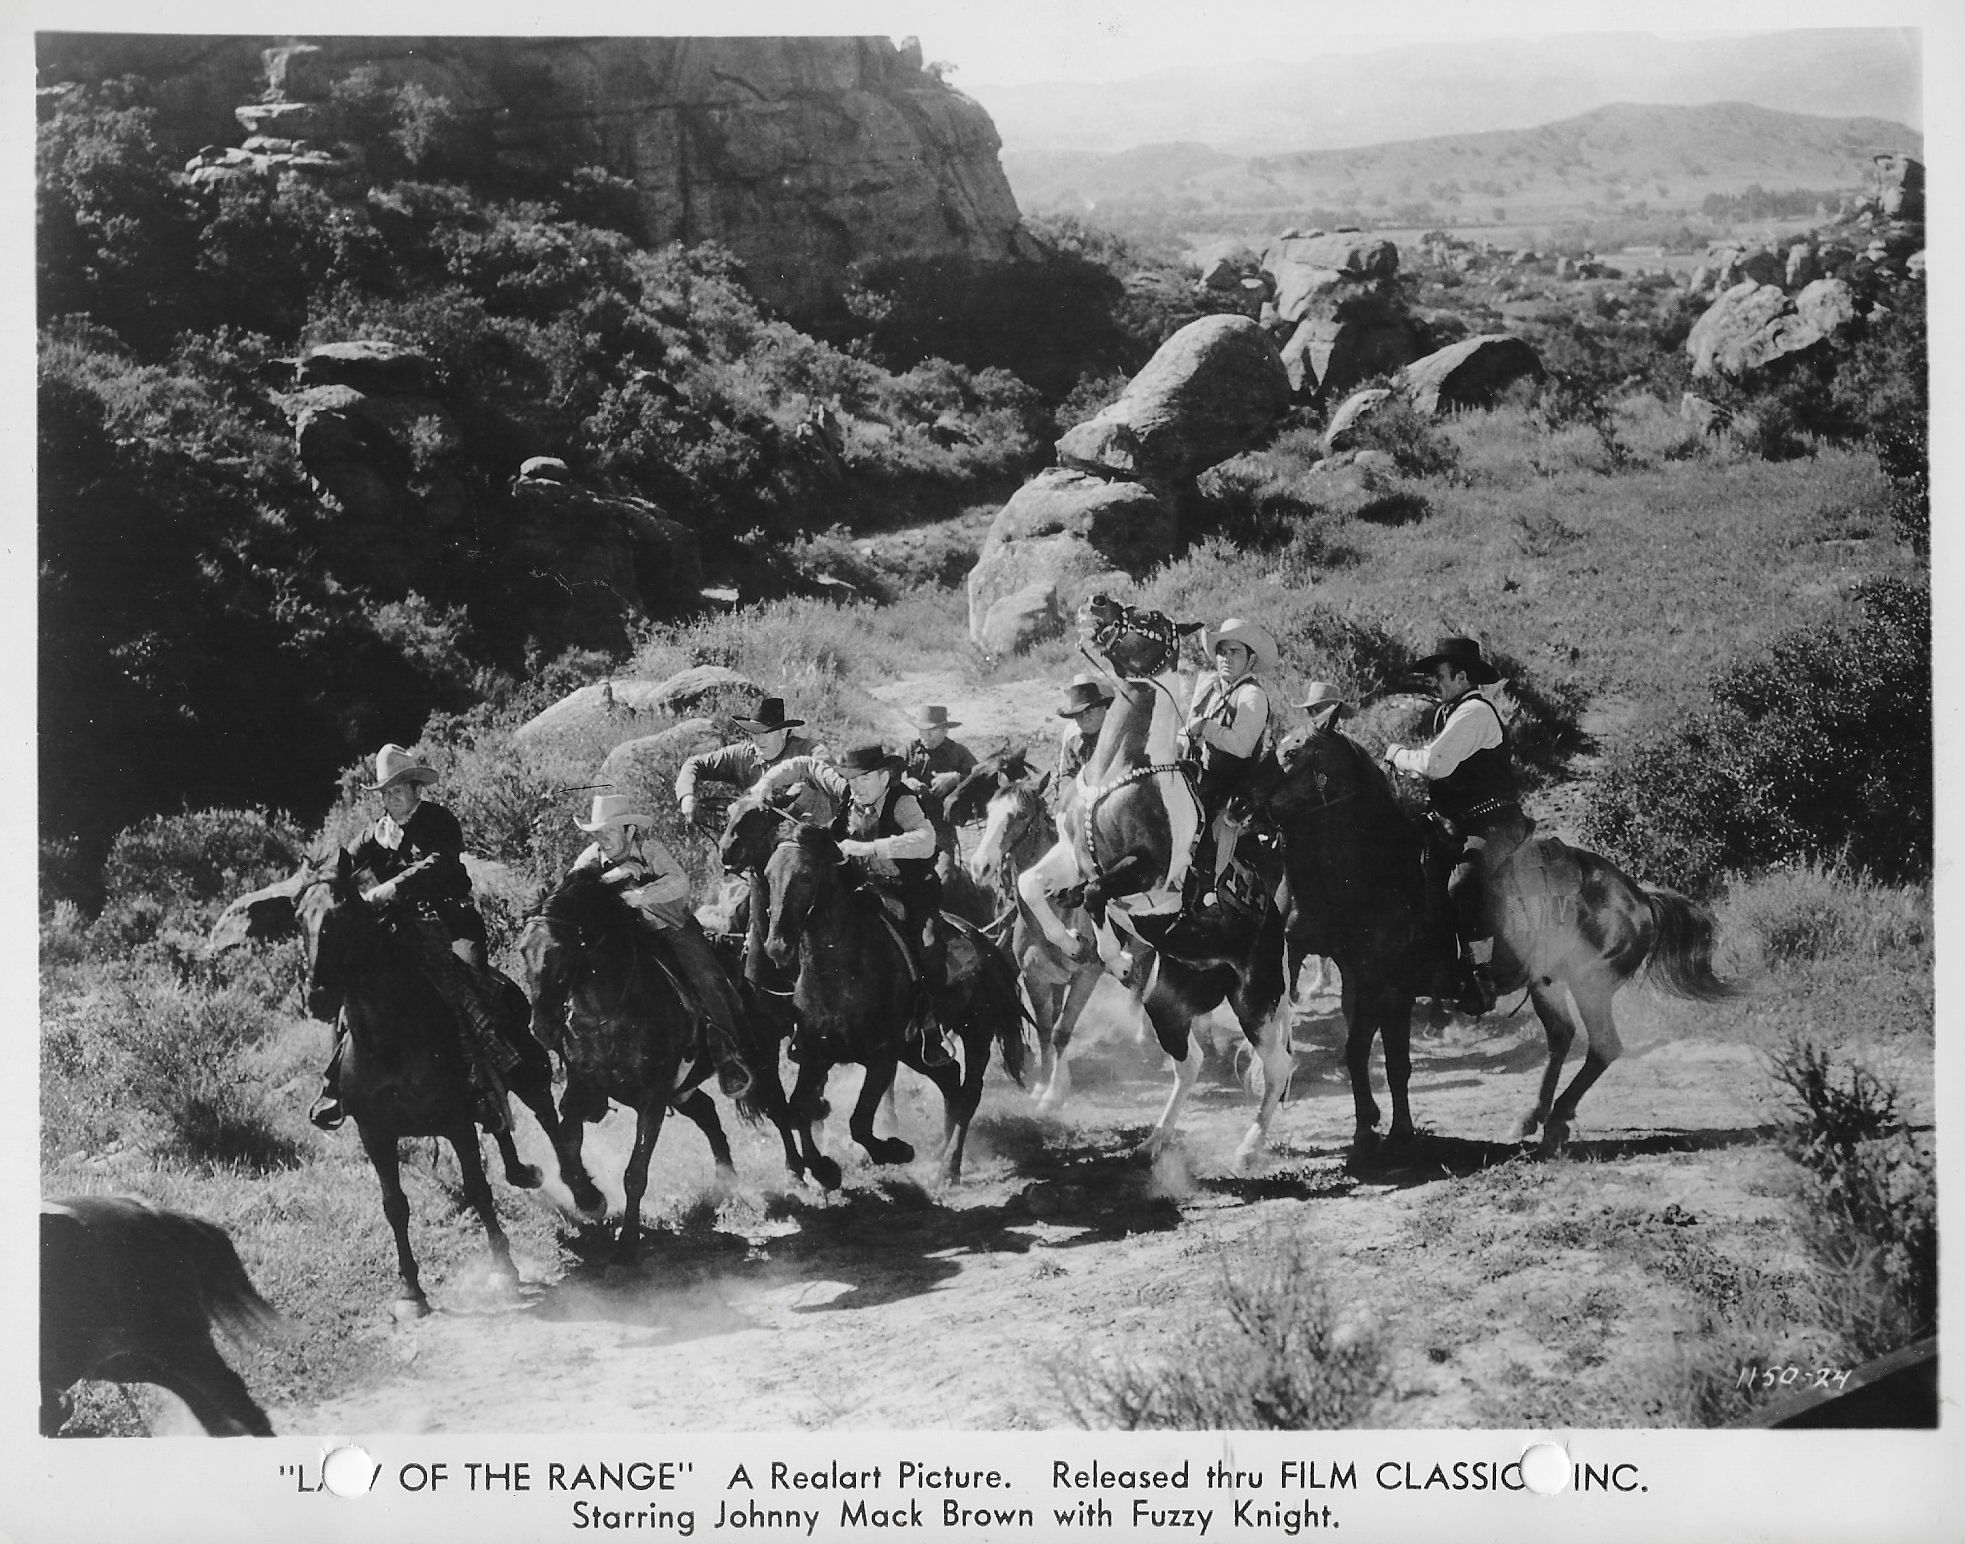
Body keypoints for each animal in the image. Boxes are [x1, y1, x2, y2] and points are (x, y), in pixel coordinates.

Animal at [514, 860, 805, 1257]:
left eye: (559, 953)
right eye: (522, 950)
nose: (540, 1027)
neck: (612, 1009)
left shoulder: (652, 1097)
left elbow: (635, 1172)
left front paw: (627, 1239)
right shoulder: (582, 1088)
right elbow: (568, 1145)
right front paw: (590, 1198)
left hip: (760, 1061)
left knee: (778, 1110)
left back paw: (797, 1176)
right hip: (682, 1090)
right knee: (709, 1114)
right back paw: (726, 1185)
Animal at [754, 825, 1029, 1186]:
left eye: (805, 876)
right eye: (769, 875)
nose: (776, 947)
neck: (840, 974)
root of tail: (982, 942)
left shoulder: (881, 1058)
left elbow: (859, 1121)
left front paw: (896, 1151)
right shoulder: (817, 1055)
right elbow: (799, 1107)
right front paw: (824, 1170)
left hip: (976, 1033)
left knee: (968, 1094)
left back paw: (949, 1168)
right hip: (915, 1049)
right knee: (950, 1081)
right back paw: (939, 1154)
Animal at [1249, 718, 1744, 1139]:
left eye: (1292, 752)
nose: (1241, 801)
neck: (1383, 867)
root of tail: (1640, 897)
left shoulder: (1392, 989)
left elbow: (1395, 1063)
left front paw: (1400, 1134)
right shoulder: (1359, 980)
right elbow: (1355, 1052)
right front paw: (1364, 1128)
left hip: (1592, 986)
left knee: (1603, 1047)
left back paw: (1556, 1118)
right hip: (1547, 984)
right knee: (1562, 1037)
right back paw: (1533, 1116)